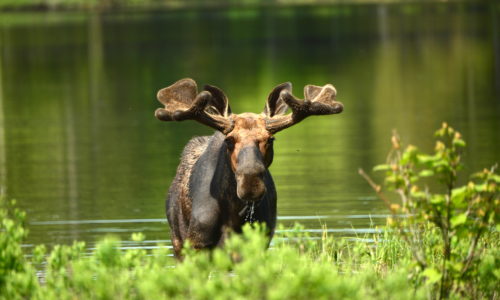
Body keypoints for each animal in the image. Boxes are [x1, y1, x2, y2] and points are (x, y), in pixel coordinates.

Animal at [155, 78, 344, 258]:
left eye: (270, 139)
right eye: (229, 140)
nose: (250, 183)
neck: (232, 214)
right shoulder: (196, 244)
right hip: (177, 241)